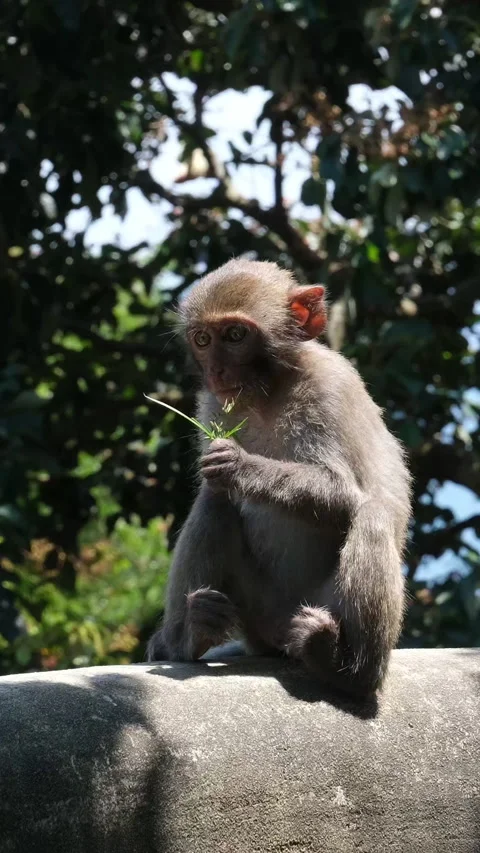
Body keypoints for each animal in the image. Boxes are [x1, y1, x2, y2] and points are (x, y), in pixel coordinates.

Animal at [147, 259, 412, 698]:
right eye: (202, 339)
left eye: (235, 335)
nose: (217, 369)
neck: (267, 392)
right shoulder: (214, 402)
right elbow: (215, 487)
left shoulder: (329, 389)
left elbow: (343, 494)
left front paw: (238, 465)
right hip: (254, 610)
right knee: (216, 502)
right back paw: (189, 636)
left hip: (320, 605)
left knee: (373, 515)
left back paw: (347, 670)